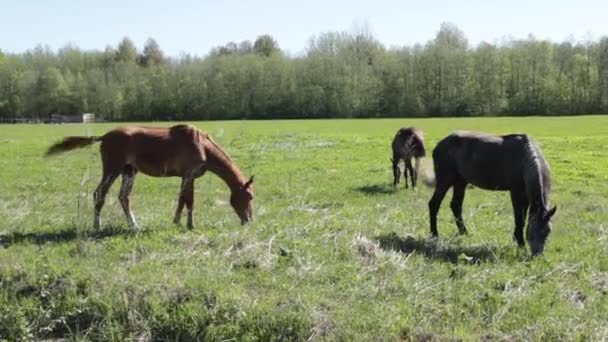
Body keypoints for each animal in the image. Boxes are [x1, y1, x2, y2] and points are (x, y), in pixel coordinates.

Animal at [45, 123, 254, 230]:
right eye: (250, 196)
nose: (249, 220)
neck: (202, 145)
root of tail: (104, 136)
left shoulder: (186, 178)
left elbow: (181, 200)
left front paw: (177, 222)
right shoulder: (189, 176)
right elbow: (189, 201)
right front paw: (189, 225)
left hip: (129, 171)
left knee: (124, 197)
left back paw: (134, 225)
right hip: (112, 170)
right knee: (99, 194)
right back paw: (97, 226)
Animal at [428, 131, 556, 256]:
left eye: (548, 231)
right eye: (532, 230)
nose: (537, 255)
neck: (524, 159)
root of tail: (440, 144)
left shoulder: (525, 195)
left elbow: (523, 218)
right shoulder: (516, 193)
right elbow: (519, 218)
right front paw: (520, 243)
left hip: (460, 181)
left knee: (456, 205)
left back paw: (464, 233)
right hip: (445, 180)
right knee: (434, 204)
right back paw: (434, 234)